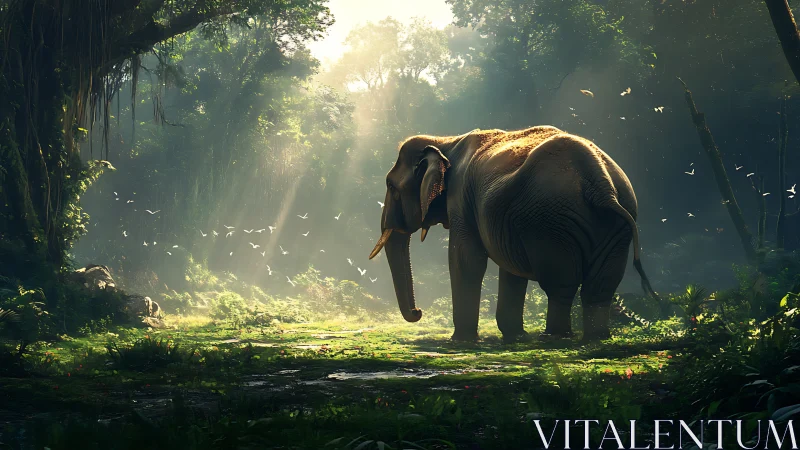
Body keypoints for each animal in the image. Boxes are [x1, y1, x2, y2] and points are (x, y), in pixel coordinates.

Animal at [368, 125, 660, 342]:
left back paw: (553, 337)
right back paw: (596, 338)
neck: (445, 141)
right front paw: (515, 336)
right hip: (615, 221)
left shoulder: (461, 197)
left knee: (560, 282)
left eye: (391, 187)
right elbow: (510, 270)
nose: (418, 311)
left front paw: (462, 341)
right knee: (600, 286)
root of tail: (600, 182)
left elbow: (466, 260)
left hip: (549, 220)